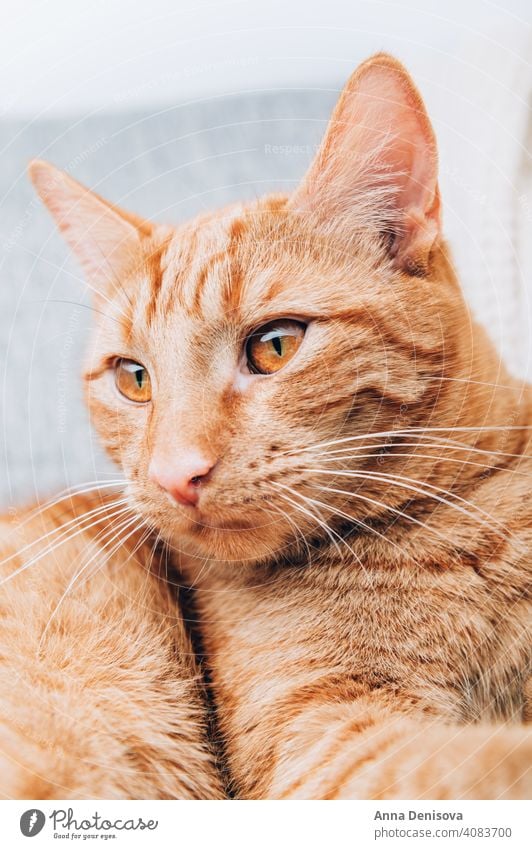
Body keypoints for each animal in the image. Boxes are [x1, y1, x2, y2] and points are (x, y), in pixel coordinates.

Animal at [3, 56, 528, 800]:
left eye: (275, 346)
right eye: (133, 378)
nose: (175, 474)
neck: (461, 523)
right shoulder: (322, 743)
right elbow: (484, 763)